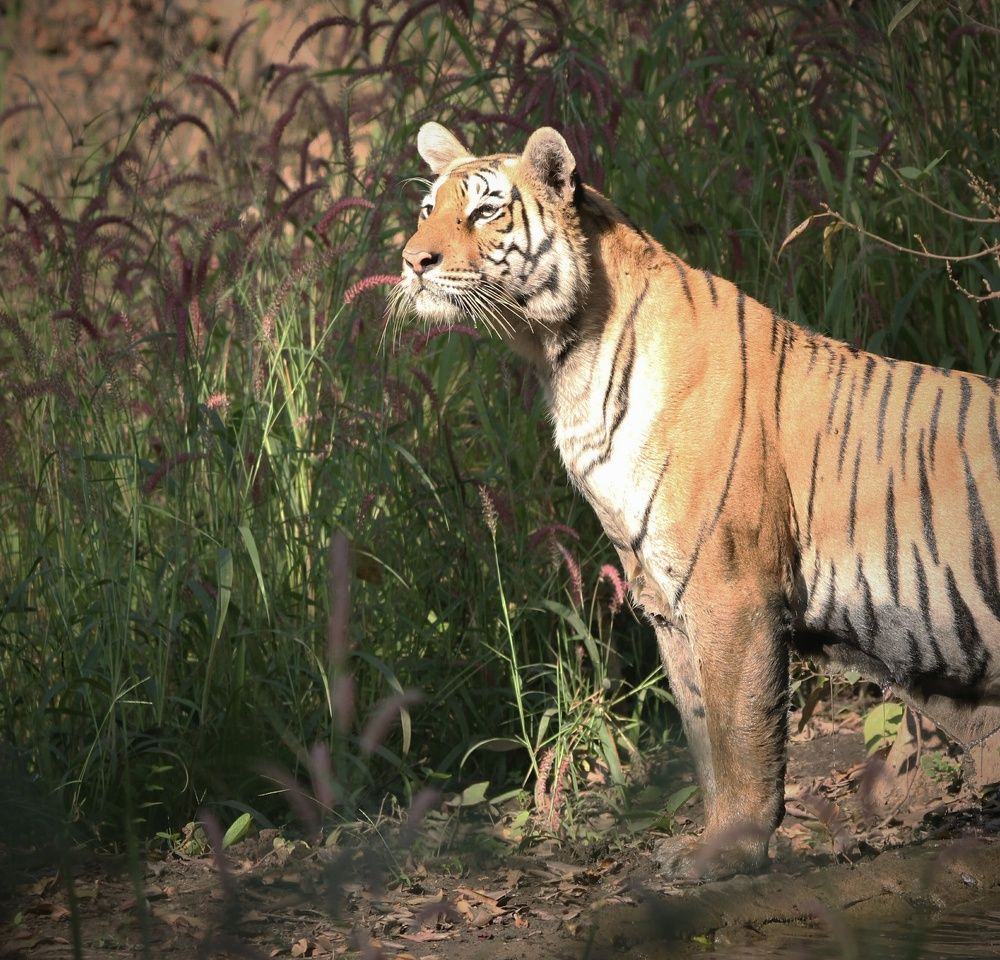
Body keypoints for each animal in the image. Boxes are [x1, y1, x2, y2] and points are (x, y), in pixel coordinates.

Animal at [398, 121, 1000, 880]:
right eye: (427, 209)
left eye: (483, 212)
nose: (411, 261)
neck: (563, 359)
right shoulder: (664, 596)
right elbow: (703, 733)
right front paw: (704, 842)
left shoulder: (729, 588)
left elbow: (741, 733)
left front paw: (730, 850)